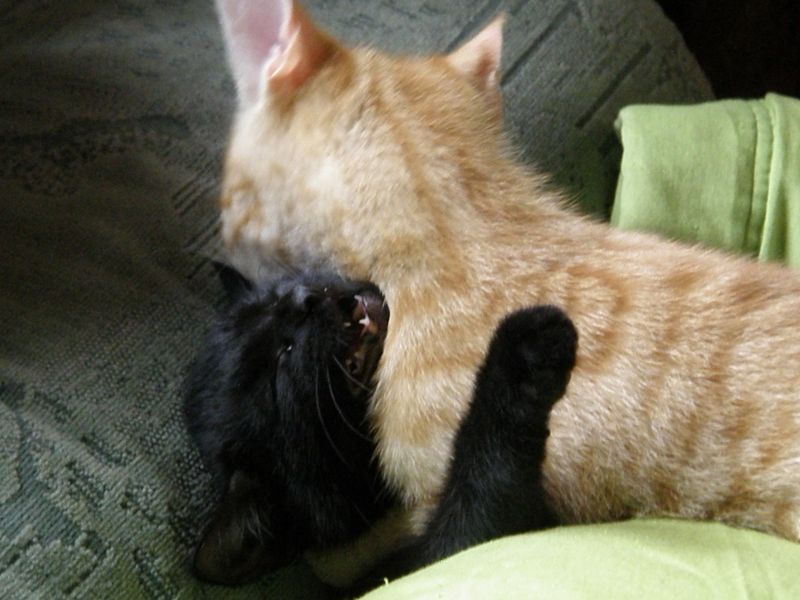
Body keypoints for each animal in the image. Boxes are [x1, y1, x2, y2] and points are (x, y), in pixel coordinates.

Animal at [184, 263, 578, 588]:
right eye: (281, 361)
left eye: (275, 296)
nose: (302, 297)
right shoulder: (446, 553)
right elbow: (483, 490)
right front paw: (525, 353)